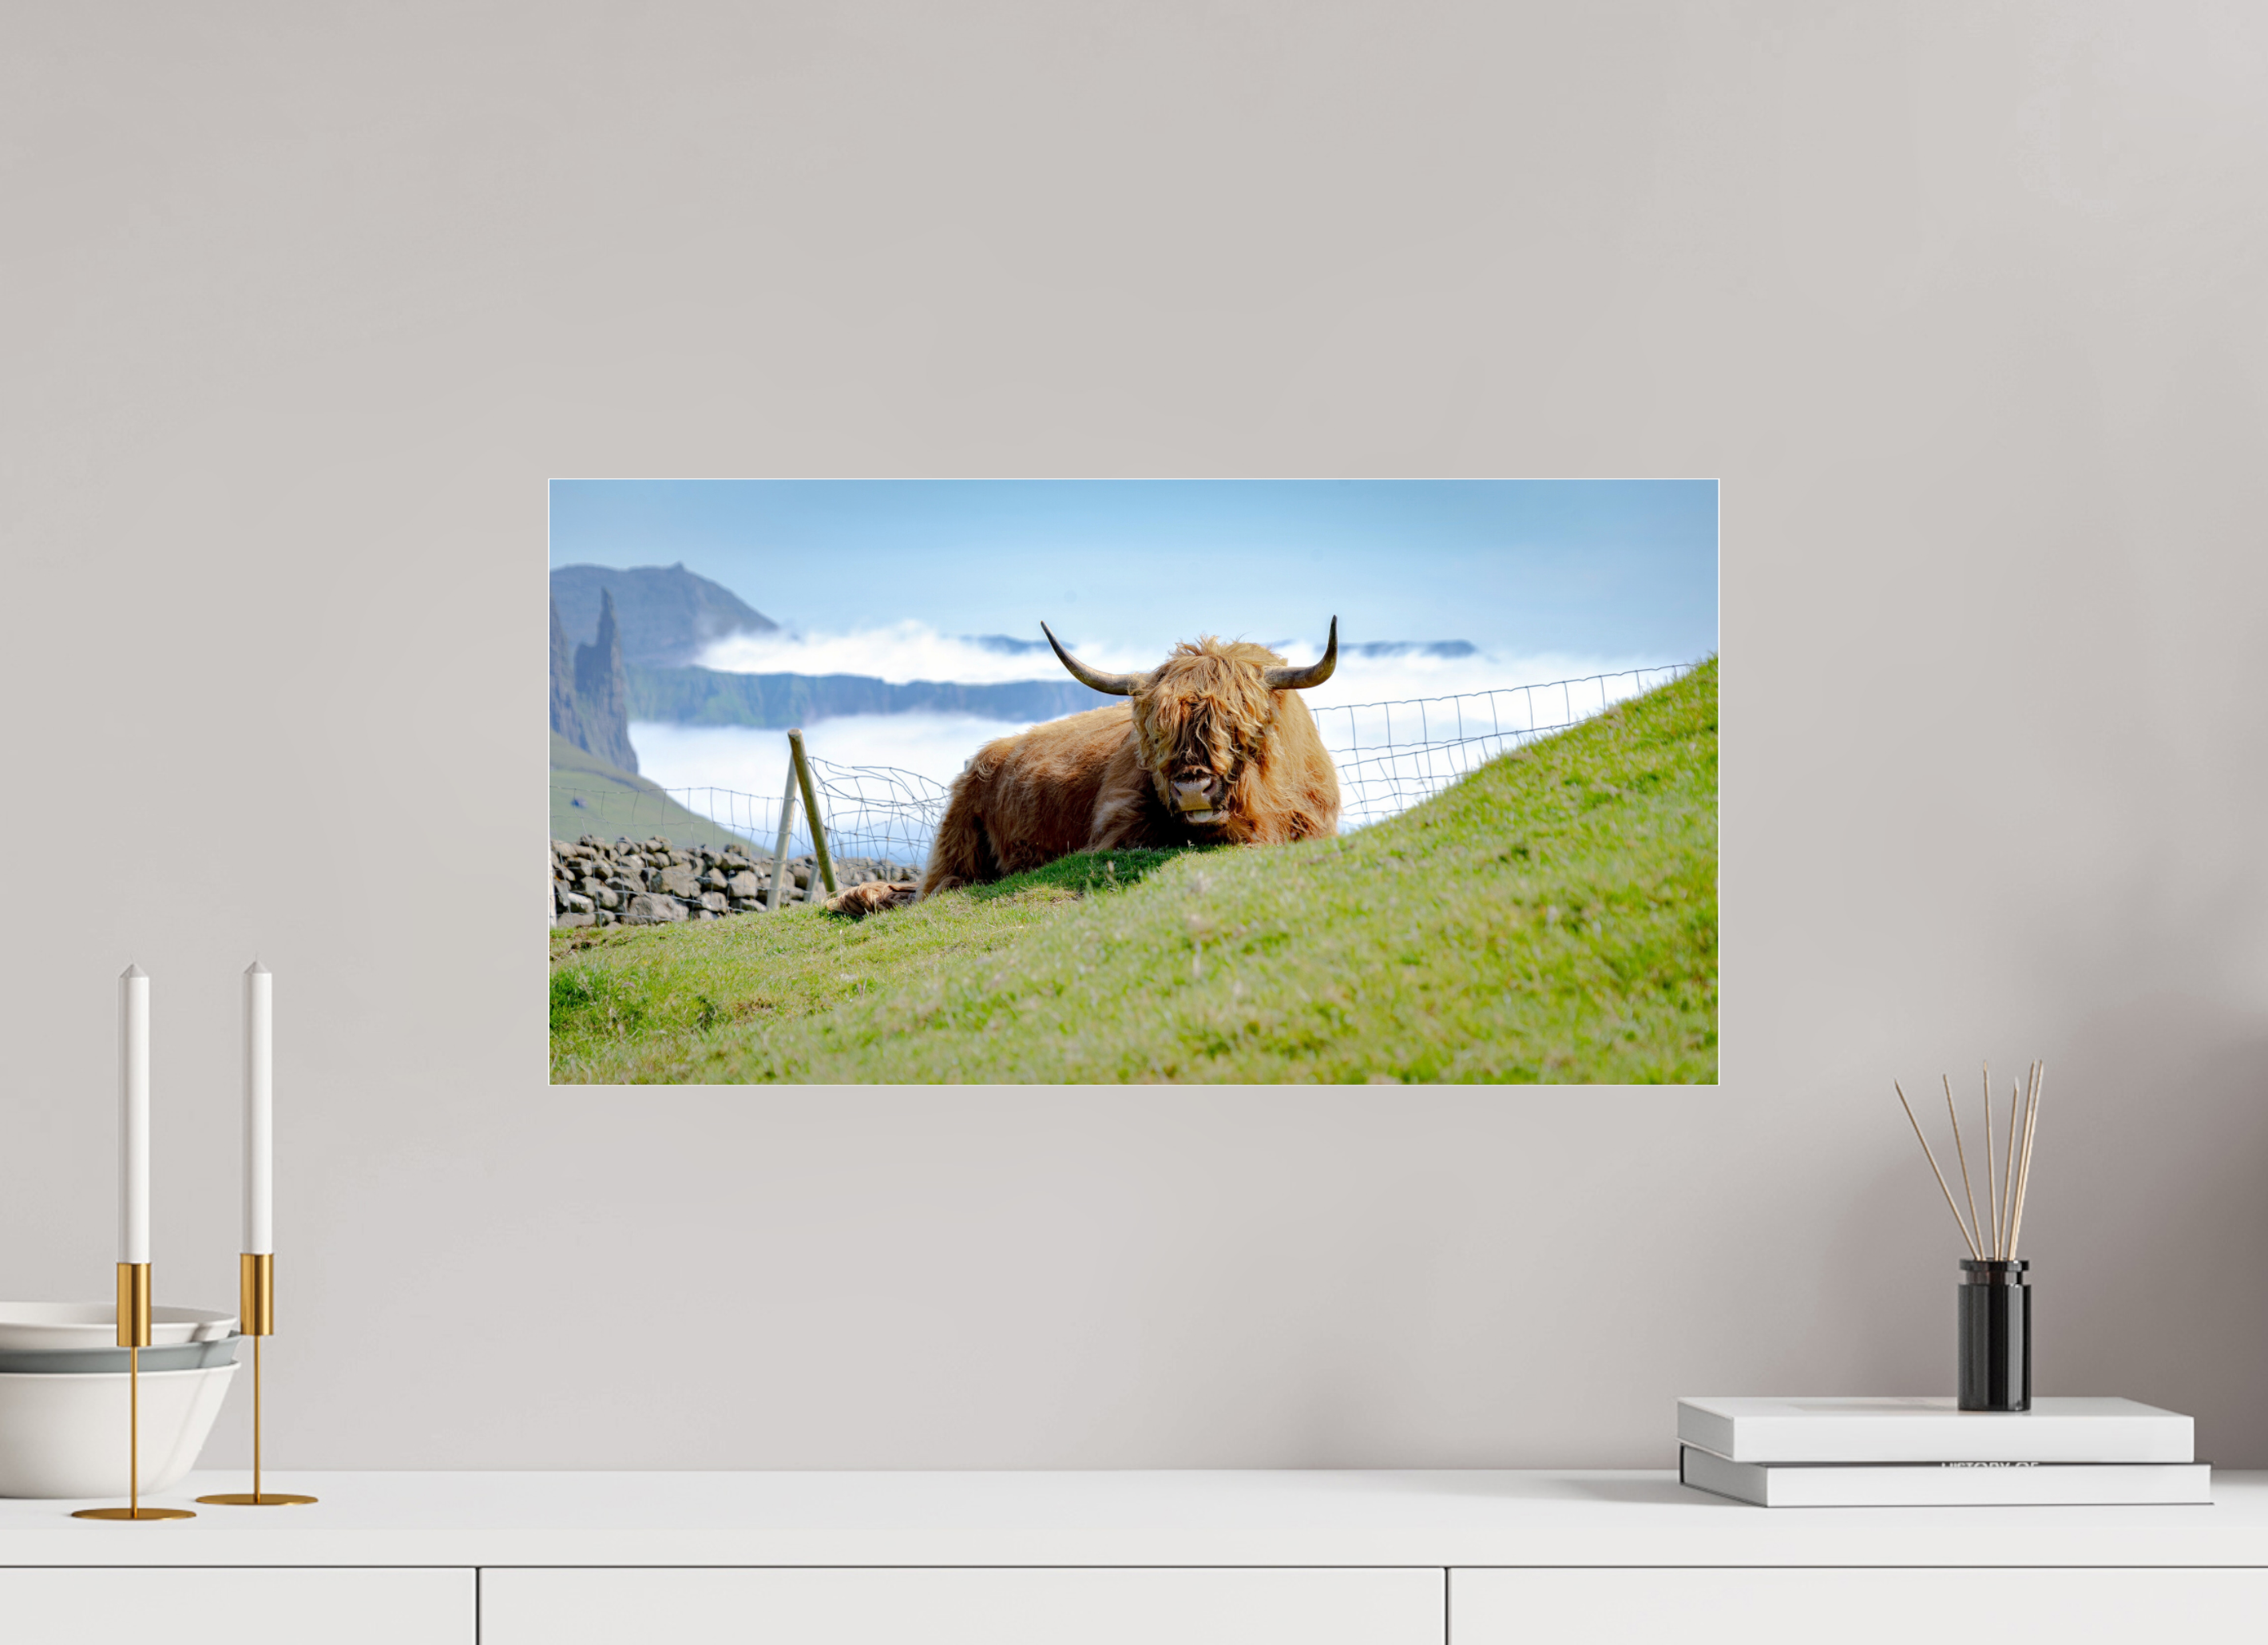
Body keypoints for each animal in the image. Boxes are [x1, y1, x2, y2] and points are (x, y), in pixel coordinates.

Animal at [827, 619, 1342, 916]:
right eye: (1155, 733)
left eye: (1238, 728)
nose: (1193, 788)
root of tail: (989, 753)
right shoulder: (1115, 830)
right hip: (957, 840)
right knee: (937, 886)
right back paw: (853, 898)